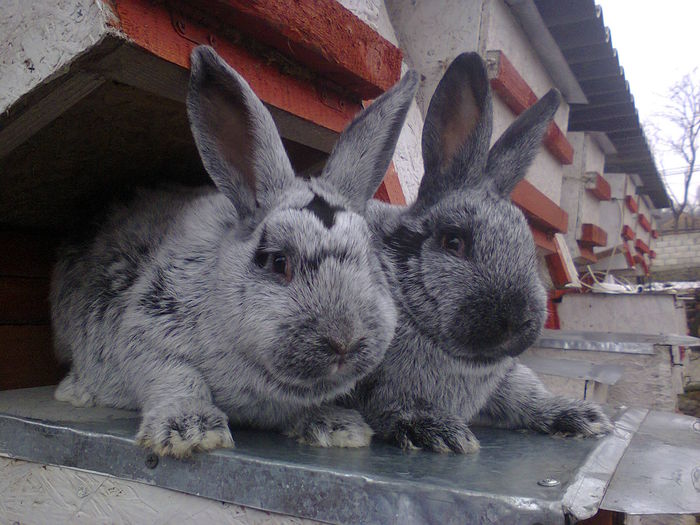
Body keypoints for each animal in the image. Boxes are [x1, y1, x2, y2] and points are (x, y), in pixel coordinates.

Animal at [53, 46, 422, 454]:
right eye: (278, 262)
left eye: (371, 260)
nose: (345, 341)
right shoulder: (148, 331)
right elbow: (177, 379)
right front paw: (191, 433)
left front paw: (340, 429)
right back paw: (76, 391)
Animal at [350, 54, 612, 454]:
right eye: (453, 242)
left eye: (526, 244)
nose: (518, 320)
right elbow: (384, 405)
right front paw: (437, 430)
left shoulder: (506, 382)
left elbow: (526, 397)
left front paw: (583, 417)